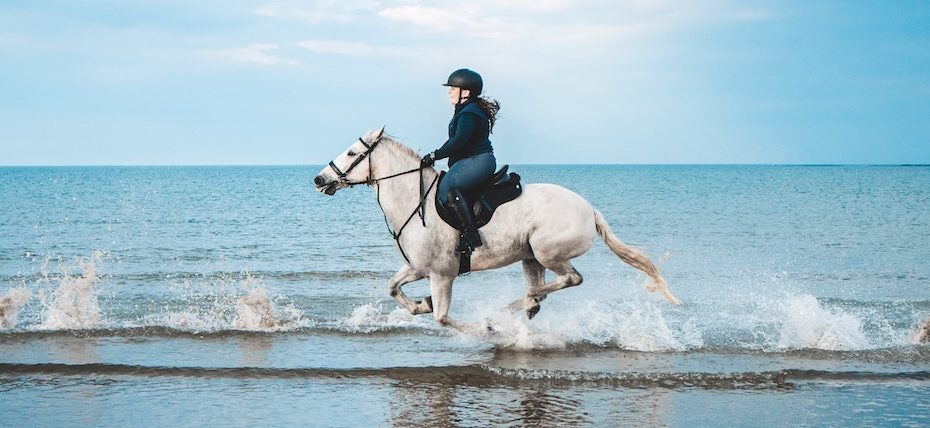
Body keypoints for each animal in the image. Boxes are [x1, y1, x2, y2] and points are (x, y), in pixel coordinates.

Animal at [314, 127, 679, 334]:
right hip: (531, 257)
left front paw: (484, 327)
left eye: (352, 152)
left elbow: (443, 319)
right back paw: (525, 305)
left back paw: (513, 308)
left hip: (547, 251)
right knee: (545, 286)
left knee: (570, 279)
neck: (415, 201)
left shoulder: (442, 274)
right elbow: (393, 288)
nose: (319, 179)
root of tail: (589, 209)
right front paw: (420, 305)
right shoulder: (418, 268)